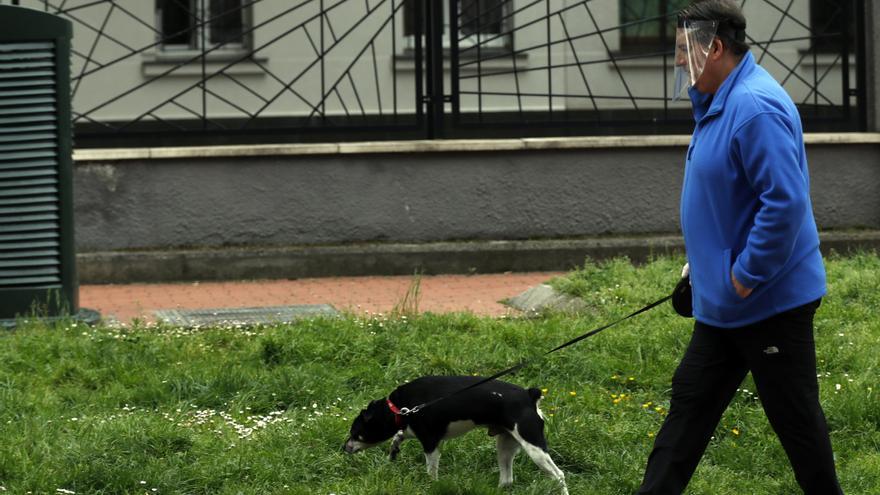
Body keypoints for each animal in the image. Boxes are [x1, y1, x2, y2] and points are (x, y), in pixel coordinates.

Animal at [340, 378, 568, 494]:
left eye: (355, 433)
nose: (344, 448)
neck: (399, 408)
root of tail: (529, 395)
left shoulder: (430, 442)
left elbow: (431, 471)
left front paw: (430, 485)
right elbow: (399, 436)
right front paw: (394, 449)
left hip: (534, 447)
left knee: (558, 475)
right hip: (505, 445)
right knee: (507, 479)